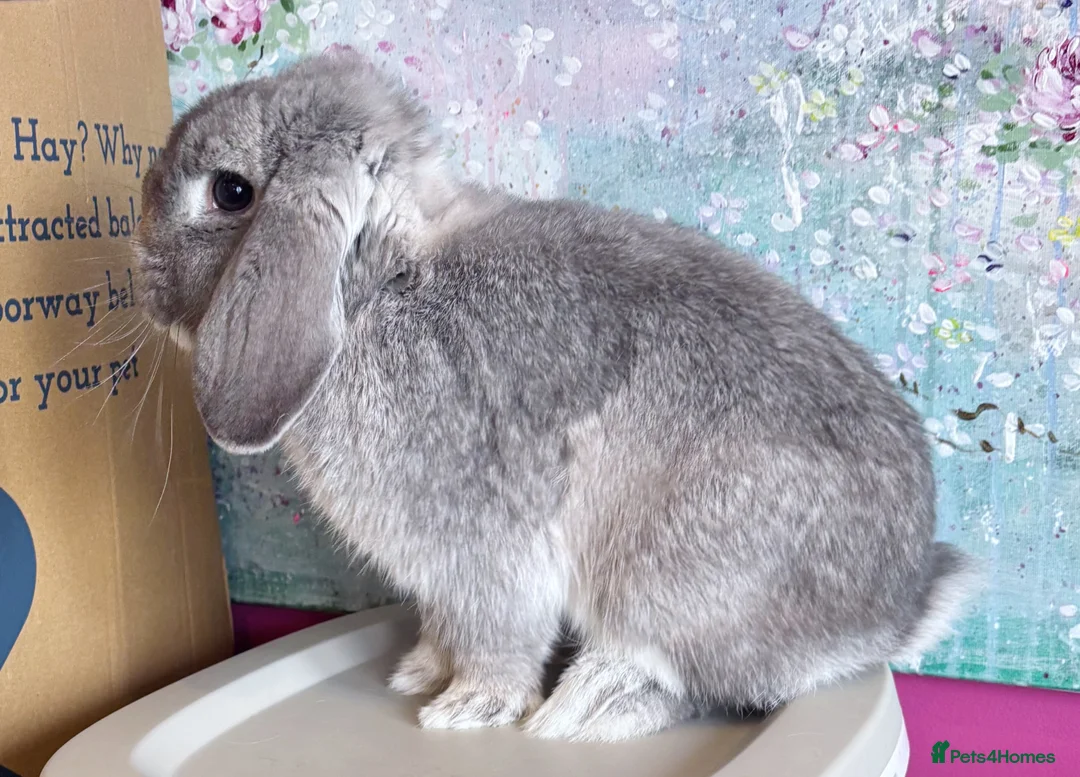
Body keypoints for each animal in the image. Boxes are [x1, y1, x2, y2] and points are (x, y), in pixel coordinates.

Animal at [133, 49, 979, 743]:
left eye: (231, 192)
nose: (139, 274)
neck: (379, 286)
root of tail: (894, 612)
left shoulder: (481, 552)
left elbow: (497, 636)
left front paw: (465, 706)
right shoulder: (442, 576)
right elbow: (445, 627)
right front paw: (419, 670)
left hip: (670, 575)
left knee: (710, 685)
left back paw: (587, 707)